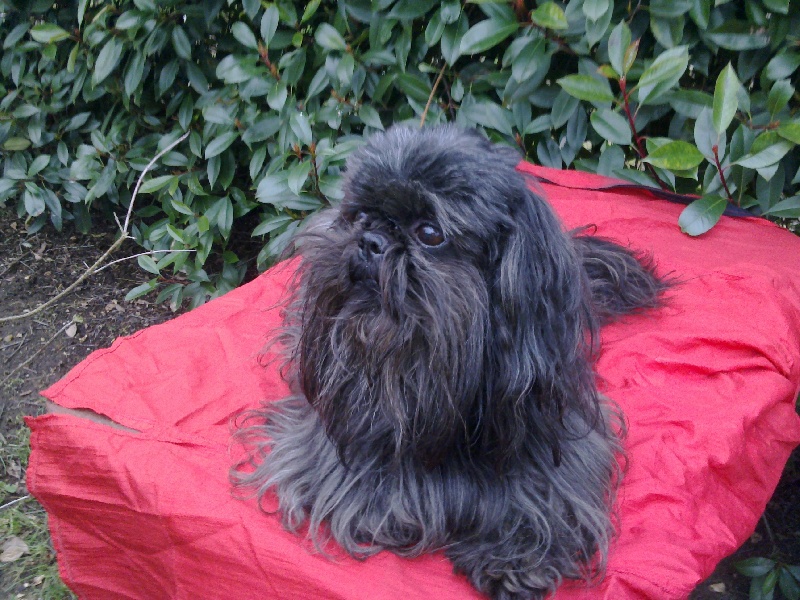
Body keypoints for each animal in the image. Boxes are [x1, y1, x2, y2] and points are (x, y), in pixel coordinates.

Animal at [233, 125, 667, 600]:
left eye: (430, 232)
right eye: (361, 216)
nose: (371, 241)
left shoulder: (561, 447)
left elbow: (542, 502)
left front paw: (515, 561)